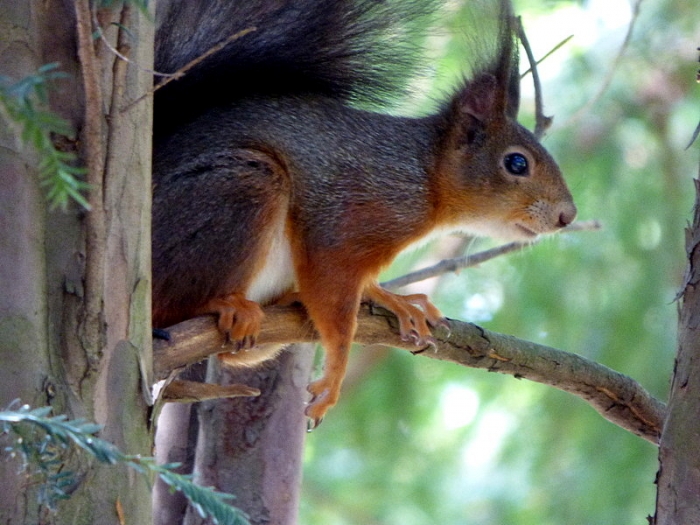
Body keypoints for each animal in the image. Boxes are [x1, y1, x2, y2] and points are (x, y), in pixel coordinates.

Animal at [152, 0, 577, 427]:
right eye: (517, 163)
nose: (568, 216)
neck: (426, 177)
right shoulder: (350, 217)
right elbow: (334, 296)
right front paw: (336, 372)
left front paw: (390, 298)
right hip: (242, 186)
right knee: (172, 306)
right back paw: (220, 304)